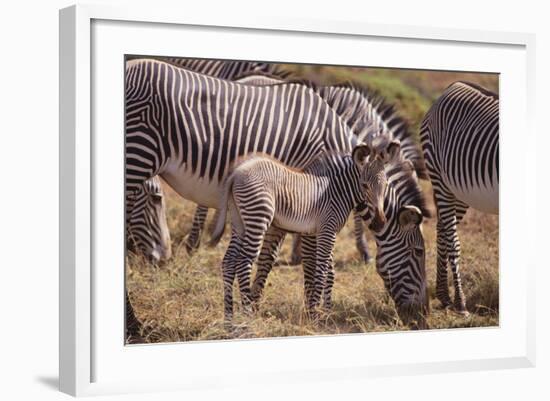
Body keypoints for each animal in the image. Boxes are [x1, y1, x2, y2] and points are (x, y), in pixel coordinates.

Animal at [212, 139, 402, 320]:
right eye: (364, 185)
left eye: (386, 185)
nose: (379, 222)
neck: (338, 191)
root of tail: (237, 173)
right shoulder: (328, 230)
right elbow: (321, 270)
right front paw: (316, 314)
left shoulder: (323, 231)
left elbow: (330, 272)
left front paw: (326, 311)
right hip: (258, 218)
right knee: (244, 262)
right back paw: (247, 313)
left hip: (239, 222)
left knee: (228, 261)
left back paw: (228, 315)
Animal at [422, 80, 500, 312]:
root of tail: (452, 86)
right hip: (441, 181)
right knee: (451, 237)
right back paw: (460, 301)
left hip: (460, 192)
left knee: (442, 229)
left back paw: (444, 295)